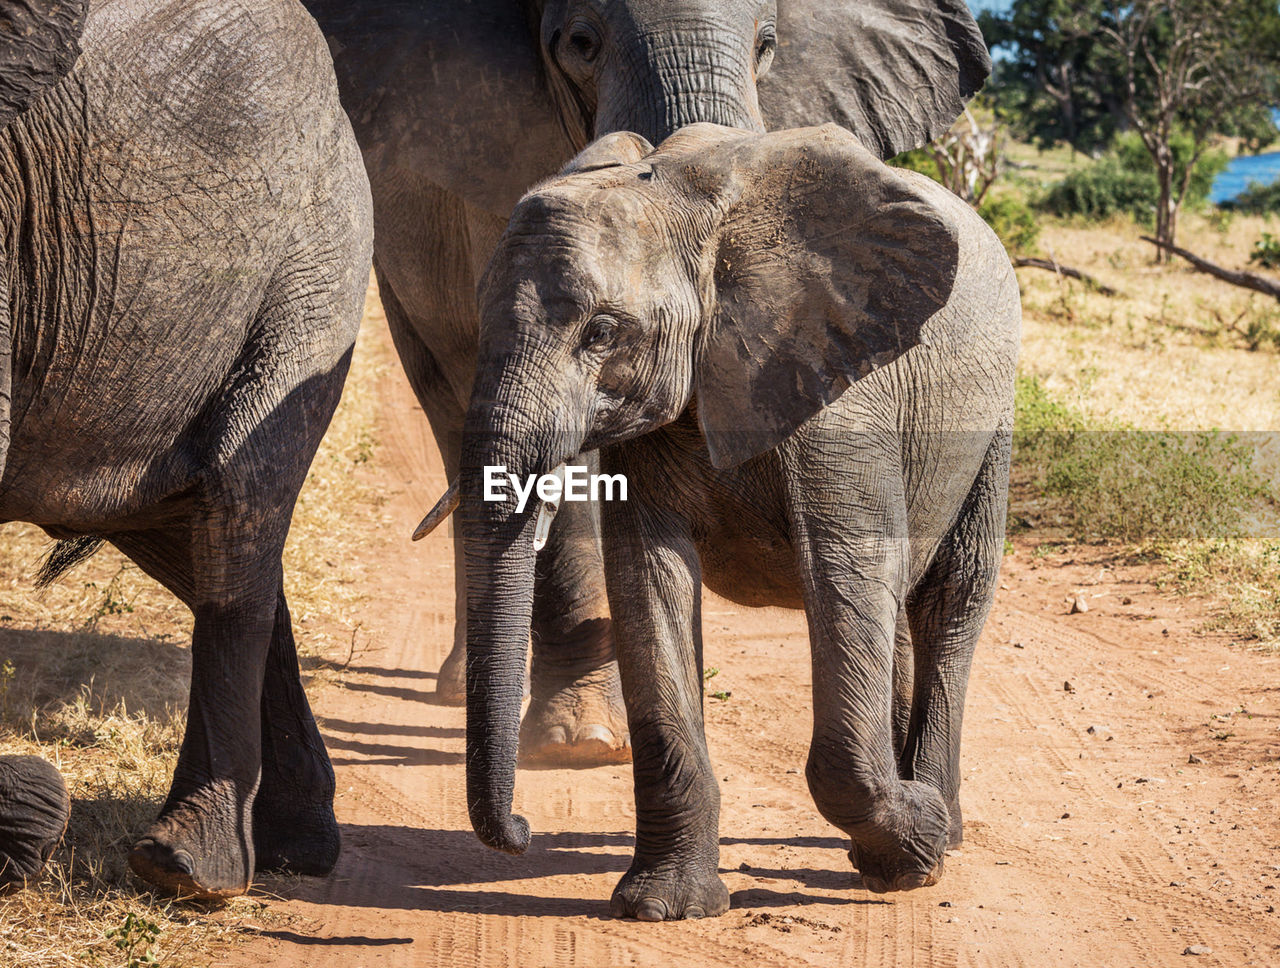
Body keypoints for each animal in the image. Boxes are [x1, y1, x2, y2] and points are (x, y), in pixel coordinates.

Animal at [430, 121, 1018, 916]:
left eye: (602, 333)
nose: (522, 828)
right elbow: (648, 581)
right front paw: (664, 906)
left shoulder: (842, 391)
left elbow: (846, 571)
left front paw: (913, 849)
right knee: (895, 611)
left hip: (993, 422)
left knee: (947, 601)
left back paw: (940, 830)